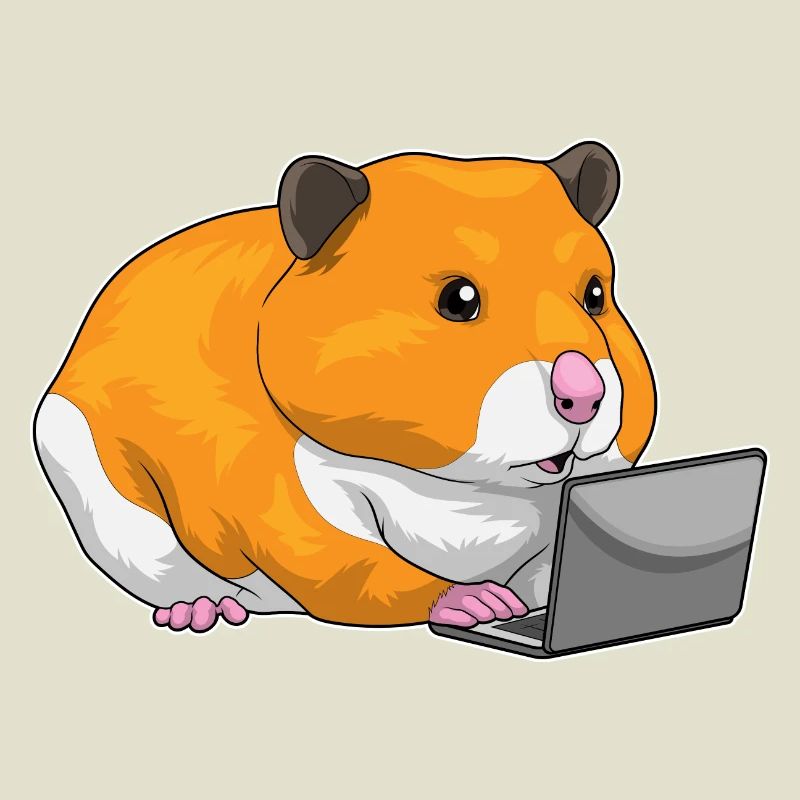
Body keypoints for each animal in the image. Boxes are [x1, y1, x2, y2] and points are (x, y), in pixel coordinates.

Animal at [34, 142, 656, 633]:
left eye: (596, 295)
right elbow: (337, 556)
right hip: (79, 455)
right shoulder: (275, 480)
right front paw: (476, 602)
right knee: (153, 554)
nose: (584, 394)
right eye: (458, 299)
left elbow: (561, 556)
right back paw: (203, 609)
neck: (470, 494)